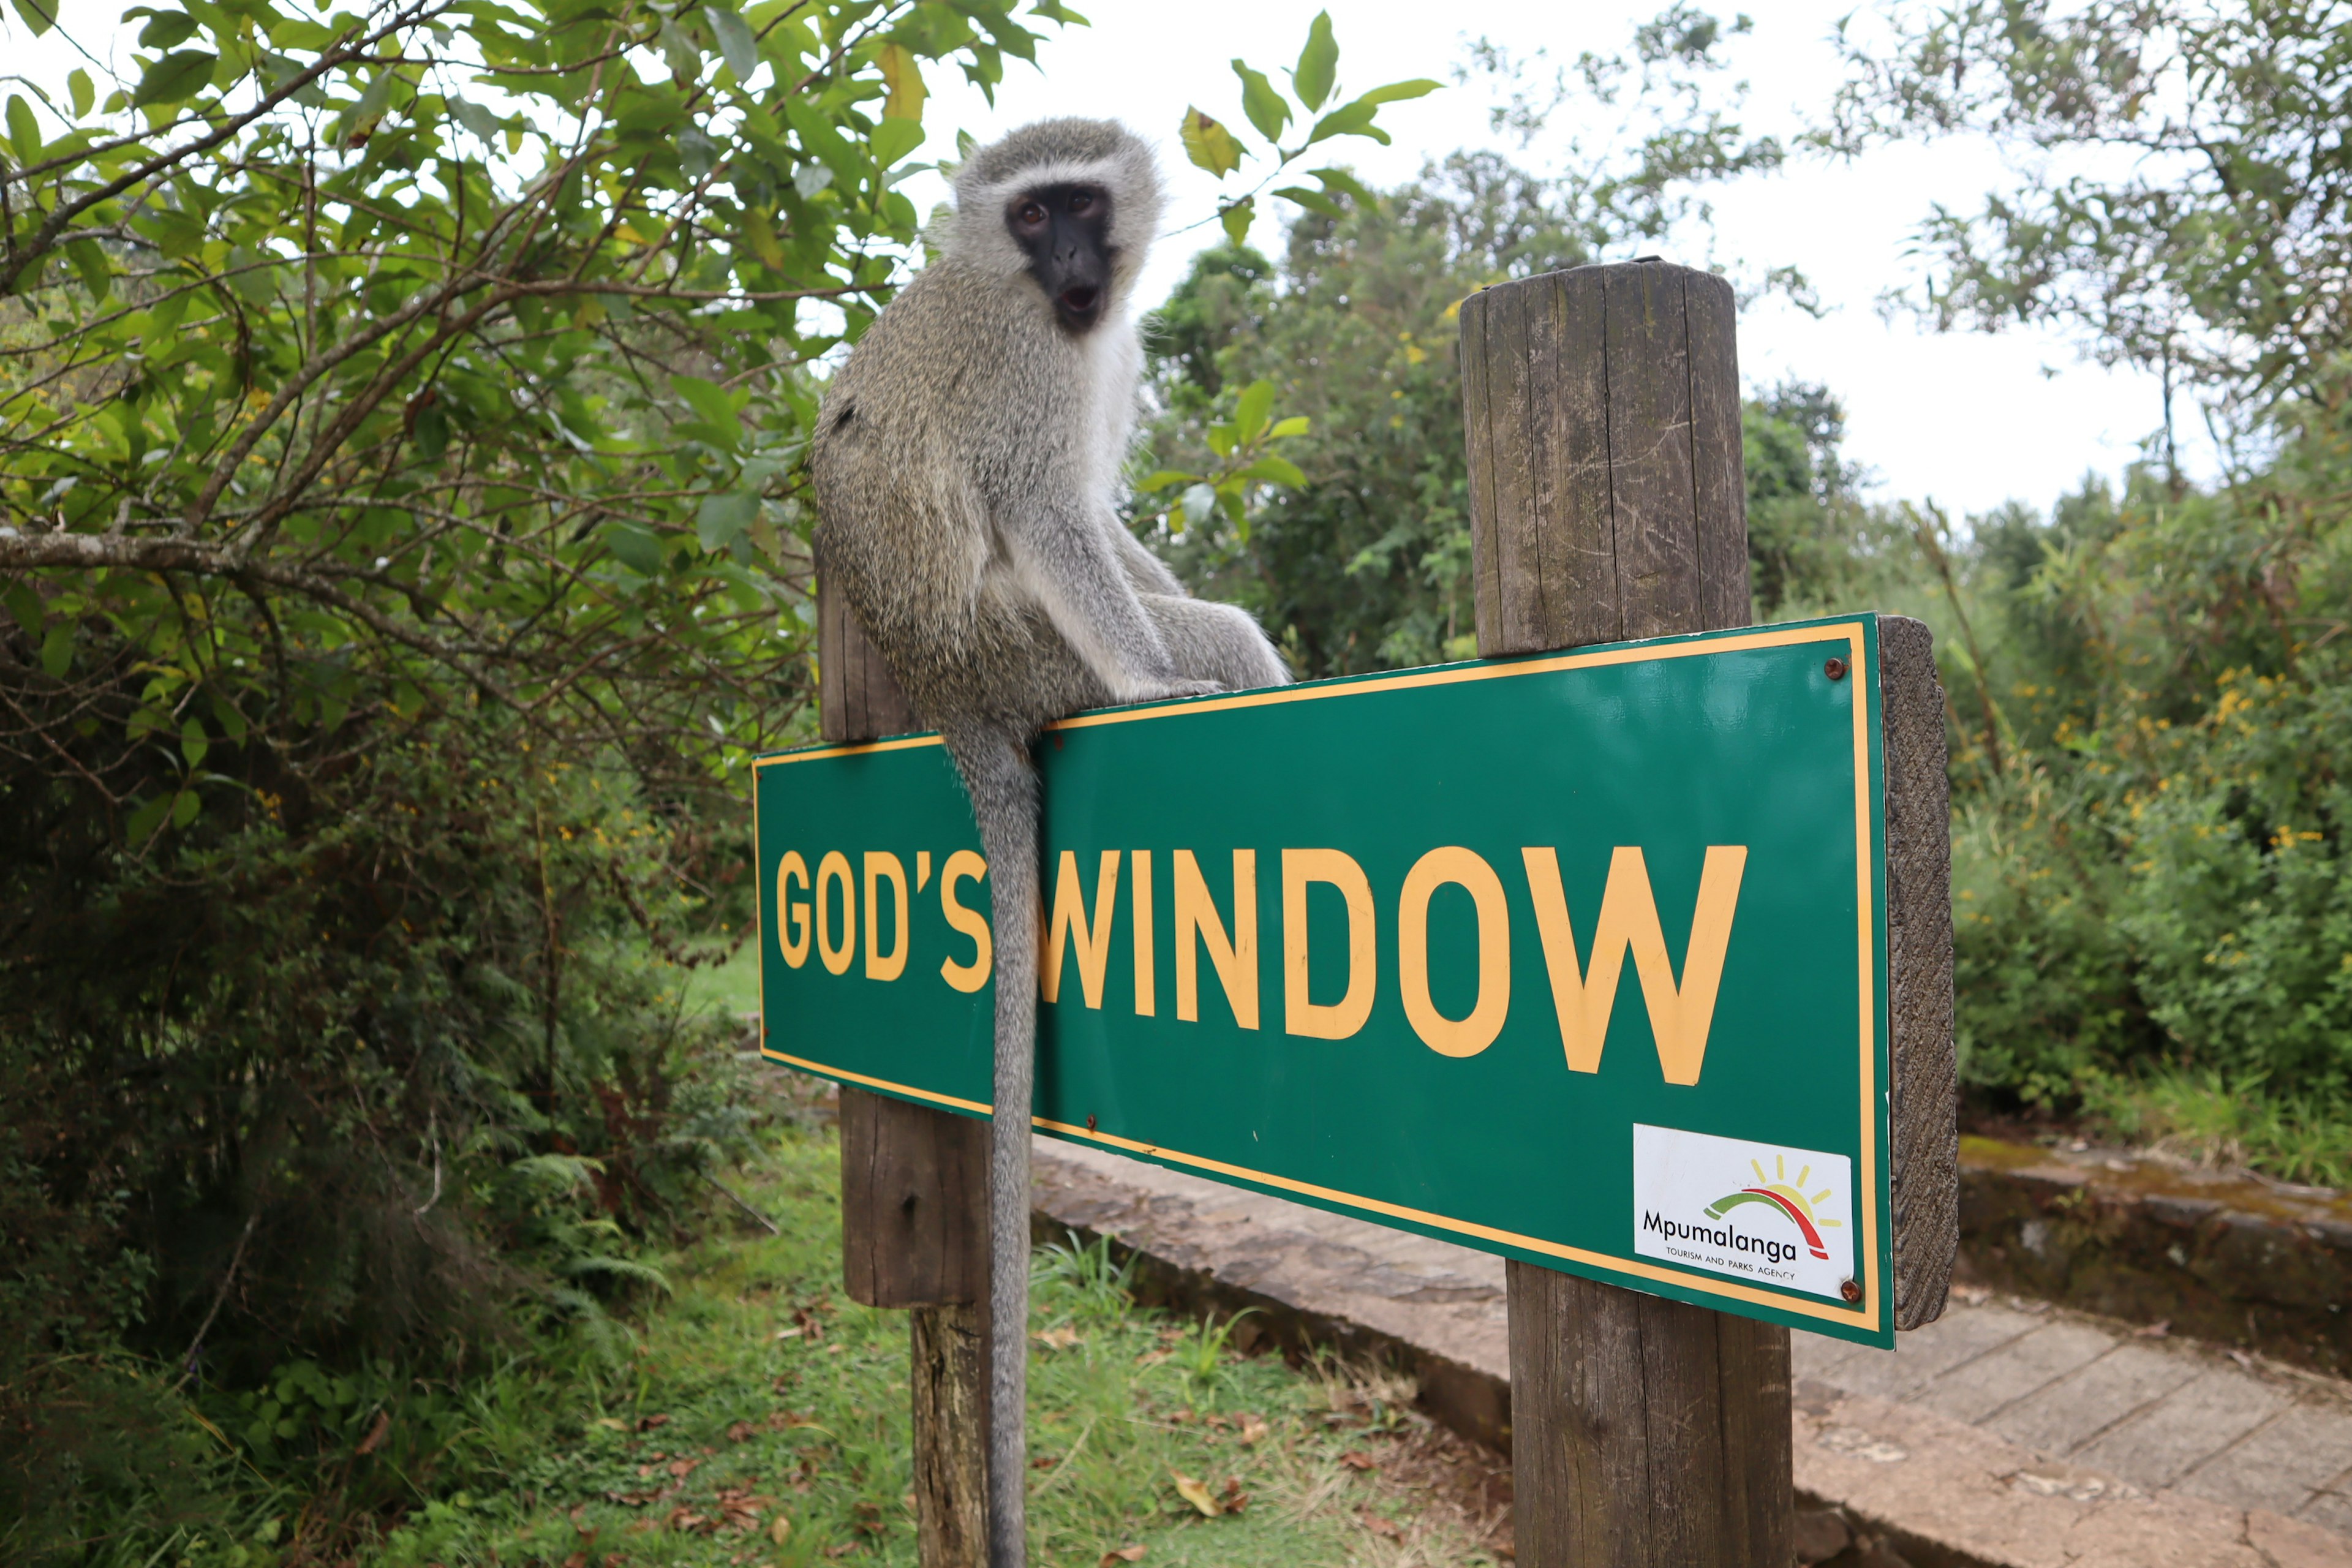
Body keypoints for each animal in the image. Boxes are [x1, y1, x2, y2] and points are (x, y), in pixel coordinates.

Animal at [809, 123, 1289, 1568]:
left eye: (1081, 204)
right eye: (1032, 218)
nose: (1074, 260)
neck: (1063, 317)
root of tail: (940, 682)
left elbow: (1115, 529)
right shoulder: (1026, 372)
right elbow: (1048, 510)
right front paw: (1144, 680)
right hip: (1023, 651)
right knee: (1189, 629)